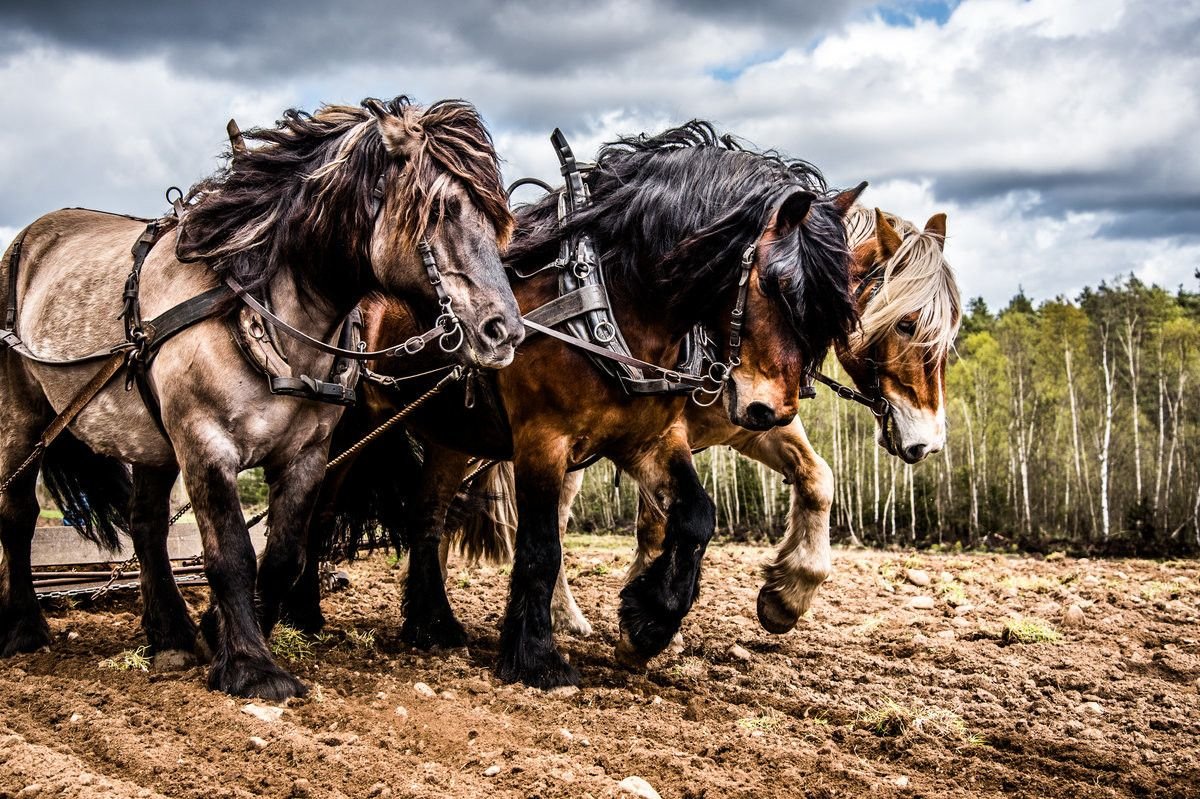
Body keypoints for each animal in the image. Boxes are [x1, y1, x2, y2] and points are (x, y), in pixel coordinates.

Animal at [0, 96, 523, 699]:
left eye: (497, 219)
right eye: (443, 208)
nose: (505, 332)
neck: (261, 315)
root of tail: (28, 238)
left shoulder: (307, 454)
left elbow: (280, 557)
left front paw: (222, 632)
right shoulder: (205, 444)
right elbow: (230, 555)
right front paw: (253, 667)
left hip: (152, 439)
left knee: (147, 524)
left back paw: (171, 636)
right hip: (22, 417)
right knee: (17, 513)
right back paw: (24, 628)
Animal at [272, 121, 864, 688]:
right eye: (777, 285)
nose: (775, 412)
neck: (609, 298)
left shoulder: (650, 438)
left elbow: (698, 517)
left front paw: (648, 621)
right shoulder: (542, 438)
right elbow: (541, 546)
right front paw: (537, 658)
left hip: (452, 434)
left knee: (427, 516)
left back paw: (432, 625)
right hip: (351, 425)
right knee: (322, 505)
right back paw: (302, 612)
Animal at [454, 205, 961, 643]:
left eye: (951, 329)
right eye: (907, 324)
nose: (930, 442)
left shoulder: (755, 421)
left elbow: (818, 479)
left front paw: (788, 594)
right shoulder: (663, 432)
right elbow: (657, 525)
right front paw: (652, 615)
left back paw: (563, 616)